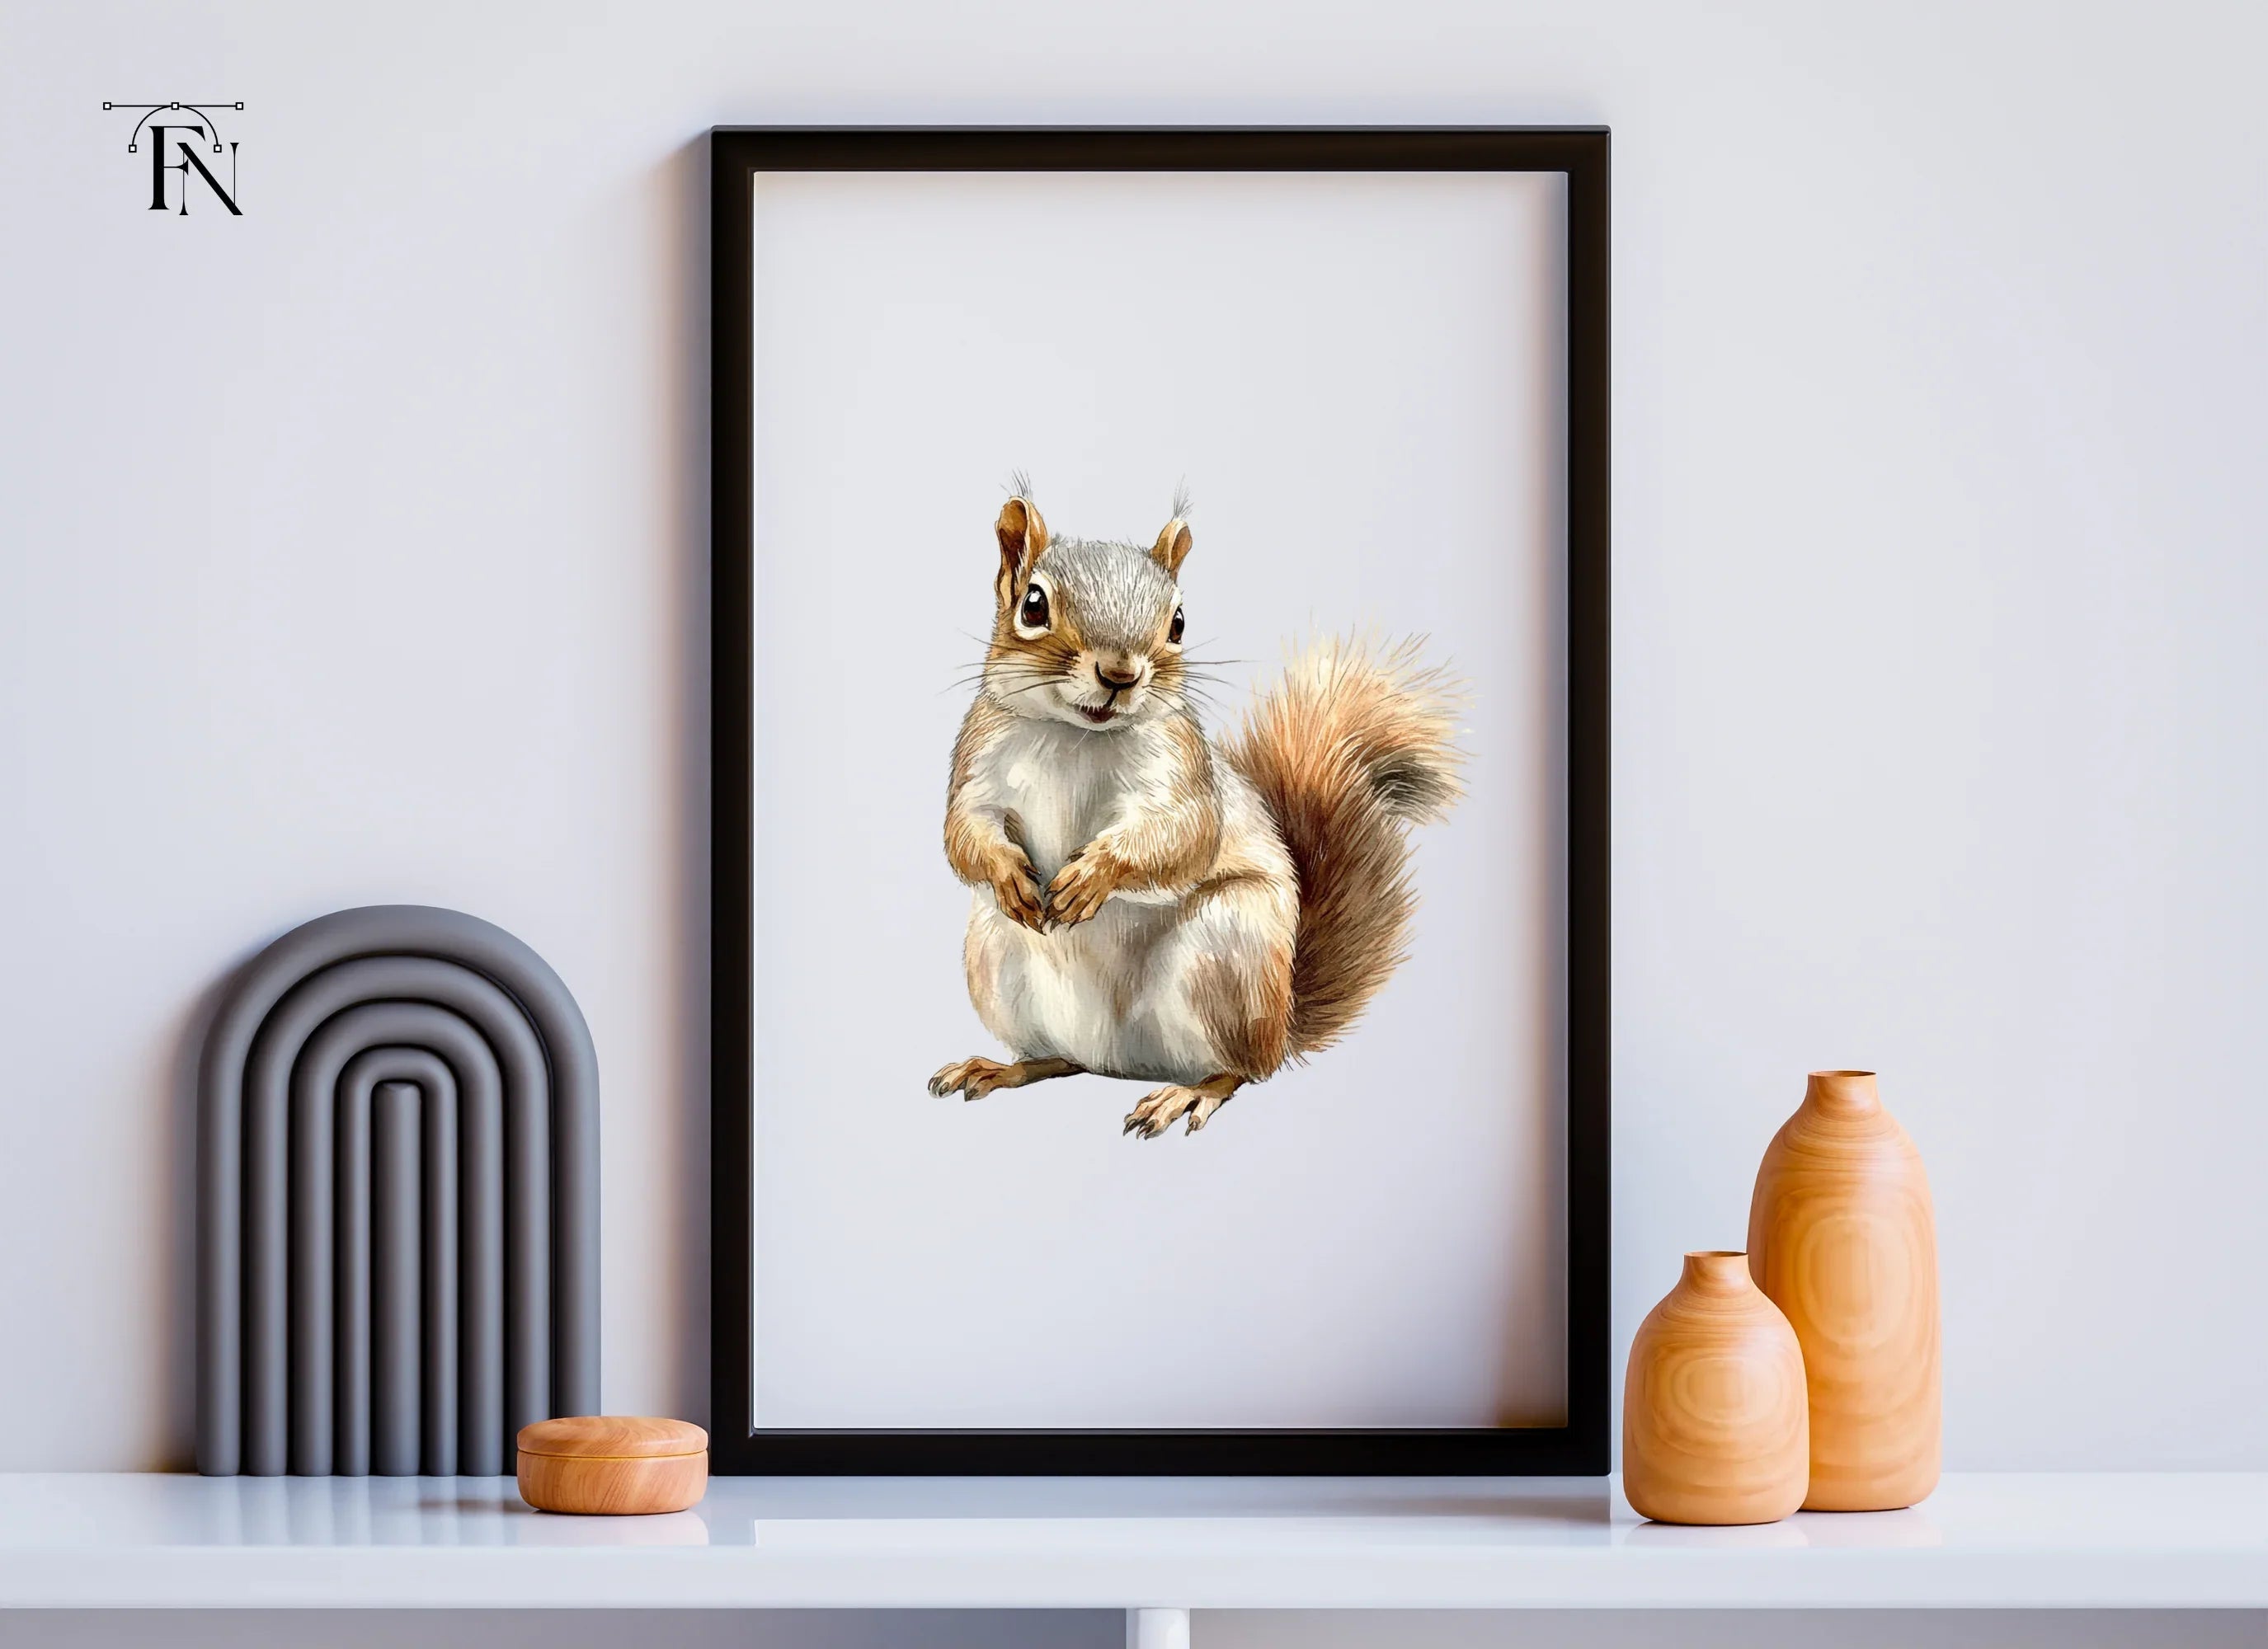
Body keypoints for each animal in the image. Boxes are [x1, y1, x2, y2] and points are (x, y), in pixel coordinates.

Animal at [928, 484, 1464, 1138]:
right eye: (1032, 606)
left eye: (1179, 622)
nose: (1119, 674)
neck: (1078, 735)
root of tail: (1117, 1062)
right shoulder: (978, 763)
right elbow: (964, 832)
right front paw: (1007, 874)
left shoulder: (1183, 771)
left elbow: (1186, 835)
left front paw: (1093, 876)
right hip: (995, 962)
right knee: (1058, 1059)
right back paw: (999, 1068)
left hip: (1225, 958)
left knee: (1243, 1071)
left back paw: (1189, 1094)